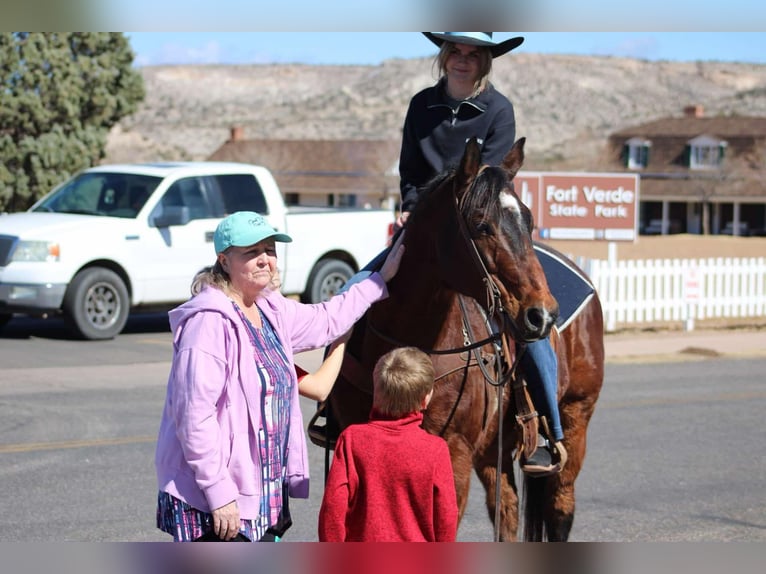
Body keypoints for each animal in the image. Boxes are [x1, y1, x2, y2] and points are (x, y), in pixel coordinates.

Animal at [322, 137, 608, 544]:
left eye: (529, 221)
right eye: (480, 224)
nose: (542, 315)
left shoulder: (454, 454)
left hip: (575, 417)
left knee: (560, 507)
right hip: (495, 448)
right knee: (506, 509)